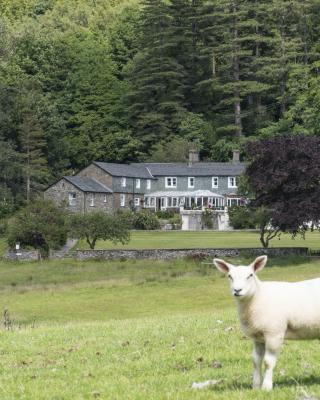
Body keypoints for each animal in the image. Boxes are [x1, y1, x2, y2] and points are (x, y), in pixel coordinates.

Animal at [214, 256, 320, 390]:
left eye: (250, 275)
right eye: (229, 276)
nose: (237, 290)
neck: (259, 295)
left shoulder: (274, 333)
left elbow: (268, 362)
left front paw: (266, 387)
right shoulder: (258, 336)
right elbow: (256, 360)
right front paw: (255, 386)